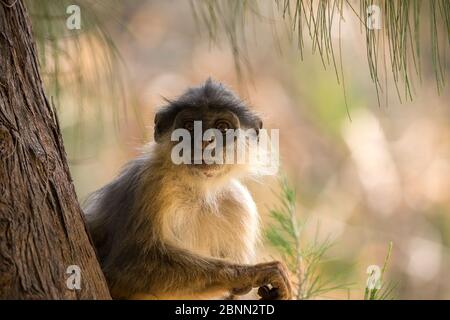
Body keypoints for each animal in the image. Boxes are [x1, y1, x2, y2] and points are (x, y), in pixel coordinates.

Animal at [83, 79, 292, 298]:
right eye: (190, 126)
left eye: (222, 127)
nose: (205, 140)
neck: (199, 191)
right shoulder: (149, 182)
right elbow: (126, 266)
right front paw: (249, 273)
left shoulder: (239, 203)